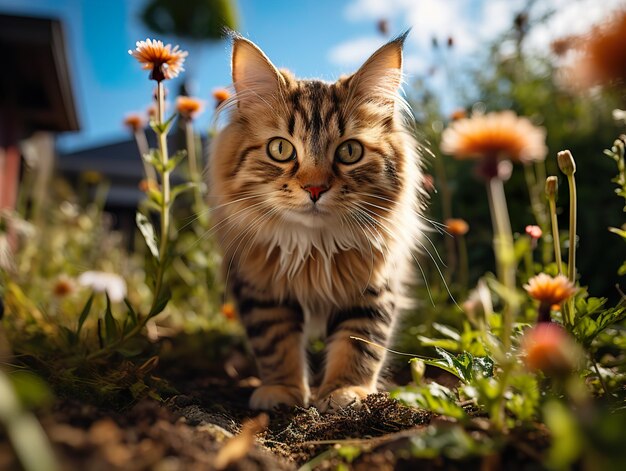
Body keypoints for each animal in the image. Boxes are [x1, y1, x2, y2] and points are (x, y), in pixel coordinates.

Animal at [210, 31, 424, 412]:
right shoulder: (261, 289)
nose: (315, 188)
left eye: (349, 152)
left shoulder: (372, 288)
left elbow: (359, 344)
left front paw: (345, 392)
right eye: (280, 149)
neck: (314, 248)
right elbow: (276, 345)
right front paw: (282, 392)